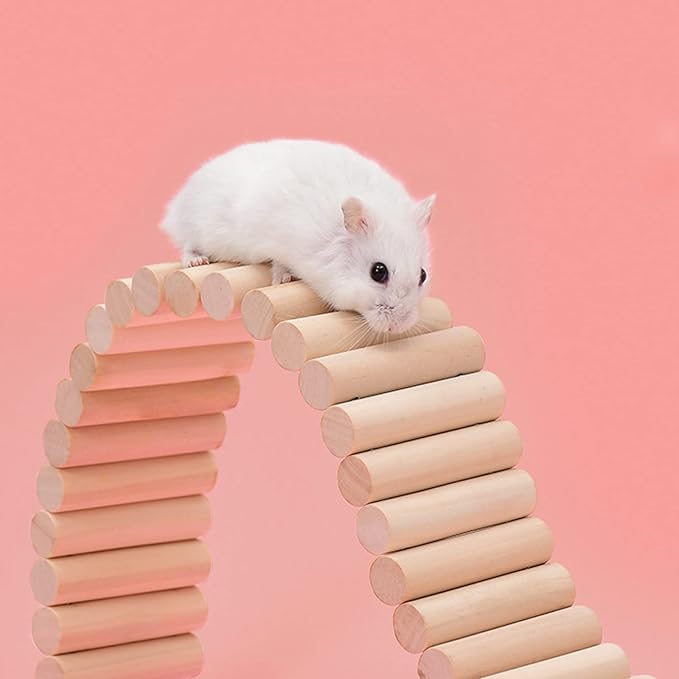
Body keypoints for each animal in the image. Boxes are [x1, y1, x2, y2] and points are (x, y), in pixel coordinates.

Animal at [160, 139, 435, 333]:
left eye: (422, 275)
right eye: (378, 271)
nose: (399, 326)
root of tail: (178, 202)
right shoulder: (279, 244)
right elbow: (279, 264)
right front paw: (284, 279)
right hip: (197, 226)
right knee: (187, 245)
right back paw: (197, 260)